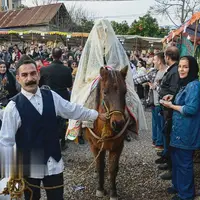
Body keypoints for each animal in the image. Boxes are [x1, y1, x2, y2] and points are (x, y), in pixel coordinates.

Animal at [85, 66, 131, 200]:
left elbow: (112, 168)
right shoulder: (94, 145)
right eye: (105, 92)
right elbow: (100, 166)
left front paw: (113, 192)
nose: (118, 123)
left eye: (125, 92)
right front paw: (100, 189)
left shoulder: (117, 146)